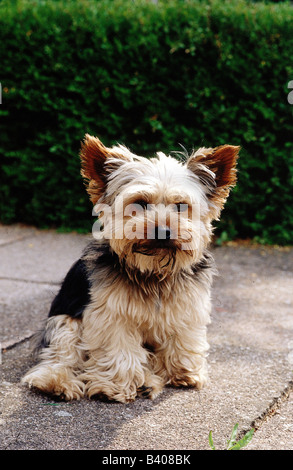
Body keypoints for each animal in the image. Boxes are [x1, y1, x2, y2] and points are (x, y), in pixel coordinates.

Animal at [22, 134, 237, 402]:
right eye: (140, 203)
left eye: (180, 206)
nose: (162, 231)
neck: (153, 271)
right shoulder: (111, 315)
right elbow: (119, 350)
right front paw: (114, 387)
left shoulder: (187, 306)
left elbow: (183, 338)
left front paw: (183, 372)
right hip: (66, 322)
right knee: (60, 356)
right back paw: (58, 383)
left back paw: (148, 381)